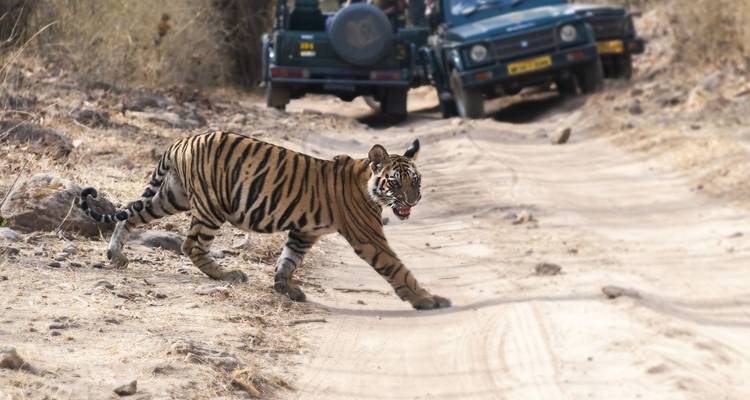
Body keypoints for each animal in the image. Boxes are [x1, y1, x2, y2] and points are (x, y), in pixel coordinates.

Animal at [78, 131, 451, 310]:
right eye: (396, 183)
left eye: (416, 181)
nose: (413, 201)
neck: (366, 183)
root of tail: (181, 140)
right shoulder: (368, 236)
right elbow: (398, 268)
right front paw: (427, 300)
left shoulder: (304, 231)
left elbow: (289, 259)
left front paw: (285, 287)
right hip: (211, 206)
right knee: (191, 244)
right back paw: (226, 275)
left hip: (172, 196)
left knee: (130, 213)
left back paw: (116, 256)